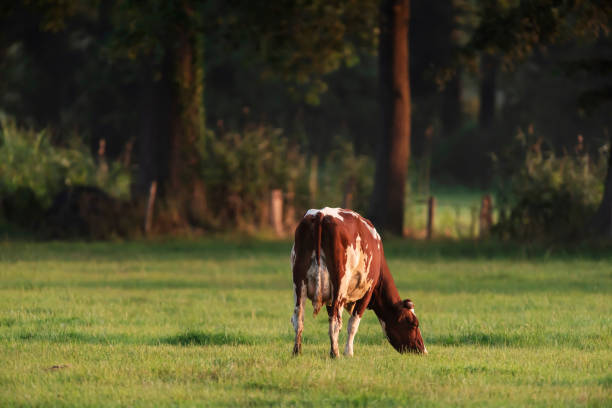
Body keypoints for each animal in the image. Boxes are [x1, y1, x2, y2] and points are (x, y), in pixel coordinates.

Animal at [290, 207, 426, 356]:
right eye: (413, 323)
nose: (423, 350)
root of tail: (322, 214)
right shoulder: (368, 291)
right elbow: (353, 323)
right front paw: (348, 353)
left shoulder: (330, 299)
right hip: (339, 286)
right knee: (335, 322)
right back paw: (335, 354)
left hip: (299, 284)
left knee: (299, 318)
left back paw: (297, 352)